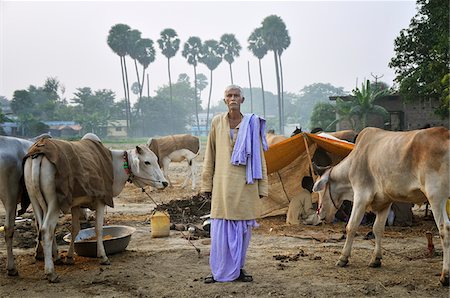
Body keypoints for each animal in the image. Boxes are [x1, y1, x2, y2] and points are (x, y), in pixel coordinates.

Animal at [23, 134, 167, 282]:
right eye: (147, 162)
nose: (164, 183)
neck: (113, 163)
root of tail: (39, 153)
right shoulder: (101, 201)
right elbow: (98, 229)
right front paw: (103, 257)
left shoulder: (76, 204)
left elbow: (75, 230)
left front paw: (69, 257)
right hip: (54, 204)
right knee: (47, 230)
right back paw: (50, 272)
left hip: (35, 201)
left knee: (41, 227)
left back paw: (54, 259)